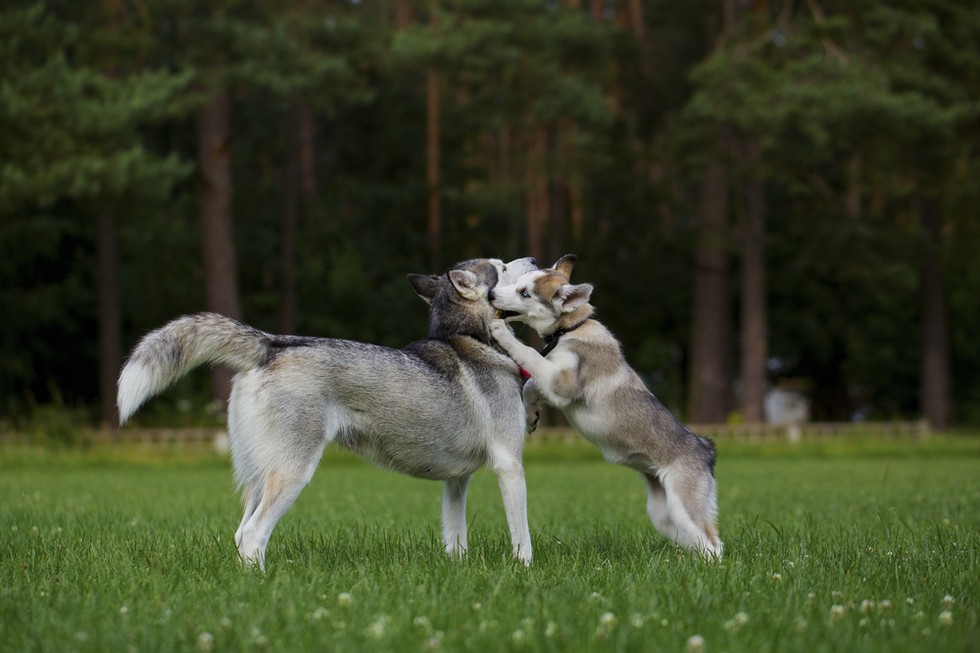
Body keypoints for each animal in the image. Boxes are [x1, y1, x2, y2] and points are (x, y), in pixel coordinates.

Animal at [120, 255, 544, 564]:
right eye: (503, 267)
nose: (533, 257)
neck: (469, 337)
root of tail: (273, 343)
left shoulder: (456, 481)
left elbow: (455, 538)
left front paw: (458, 569)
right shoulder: (508, 464)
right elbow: (522, 535)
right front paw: (524, 569)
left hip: (259, 473)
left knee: (241, 533)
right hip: (292, 471)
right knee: (255, 534)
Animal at [488, 258, 720, 556]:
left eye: (525, 293)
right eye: (517, 283)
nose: (491, 294)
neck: (571, 329)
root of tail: (704, 447)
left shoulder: (561, 384)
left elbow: (528, 354)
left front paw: (501, 332)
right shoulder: (554, 384)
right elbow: (529, 386)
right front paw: (531, 417)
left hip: (683, 508)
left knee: (713, 545)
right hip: (664, 515)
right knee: (699, 543)